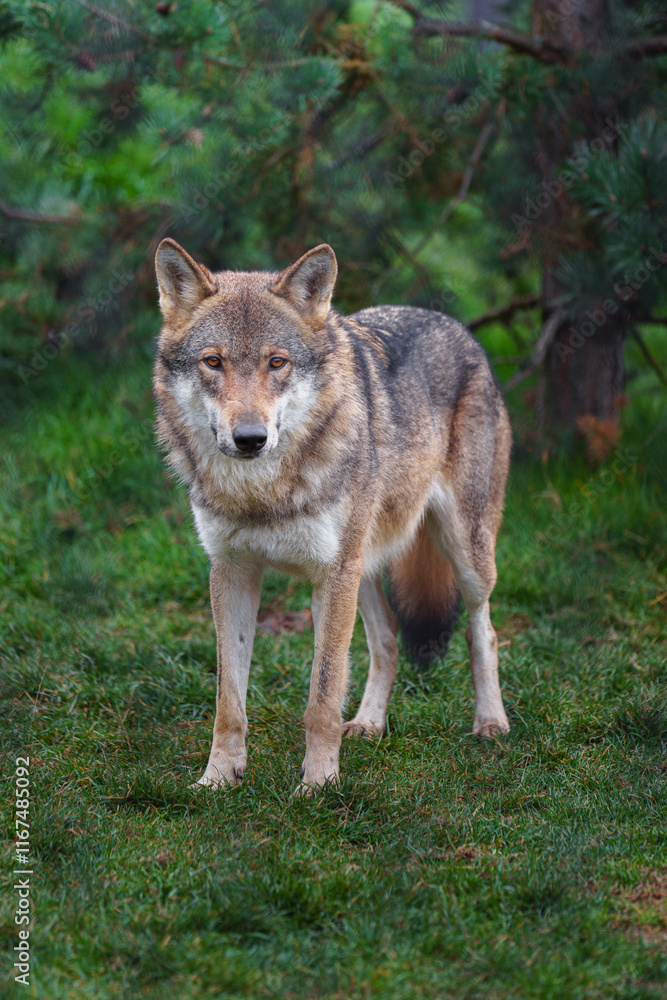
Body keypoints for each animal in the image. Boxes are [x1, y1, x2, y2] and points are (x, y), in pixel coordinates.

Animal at [153, 239, 511, 793]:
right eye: (213, 362)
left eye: (277, 362)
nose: (250, 438)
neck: (262, 494)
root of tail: (455, 326)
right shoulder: (232, 571)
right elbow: (228, 701)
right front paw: (217, 779)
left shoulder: (331, 573)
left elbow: (321, 697)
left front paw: (317, 784)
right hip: (362, 567)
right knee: (386, 641)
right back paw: (367, 724)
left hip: (462, 555)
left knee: (483, 631)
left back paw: (490, 723)